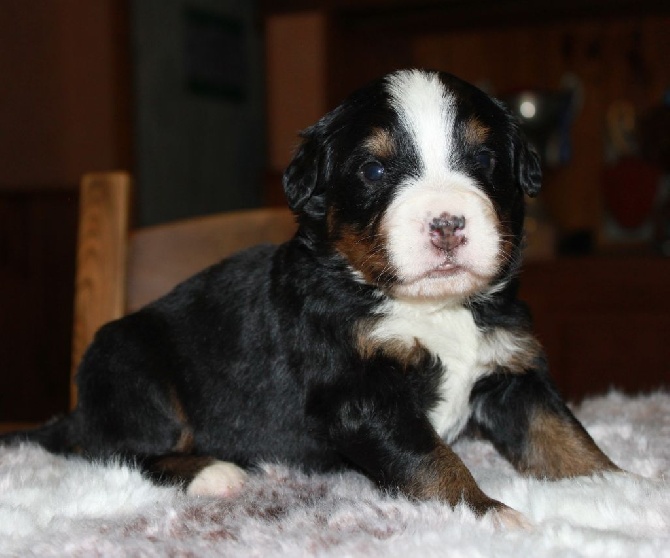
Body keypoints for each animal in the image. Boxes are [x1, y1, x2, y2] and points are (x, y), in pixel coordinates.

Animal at [1, 69, 620, 524]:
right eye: (373, 170)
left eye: (485, 160)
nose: (446, 223)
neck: (433, 307)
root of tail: (77, 410)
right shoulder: (360, 392)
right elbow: (430, 458)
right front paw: (489, 515)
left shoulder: (511, 368)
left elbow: (561, 434)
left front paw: (619, 484)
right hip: (132, 367)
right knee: (115, 450)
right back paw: (216, 473)